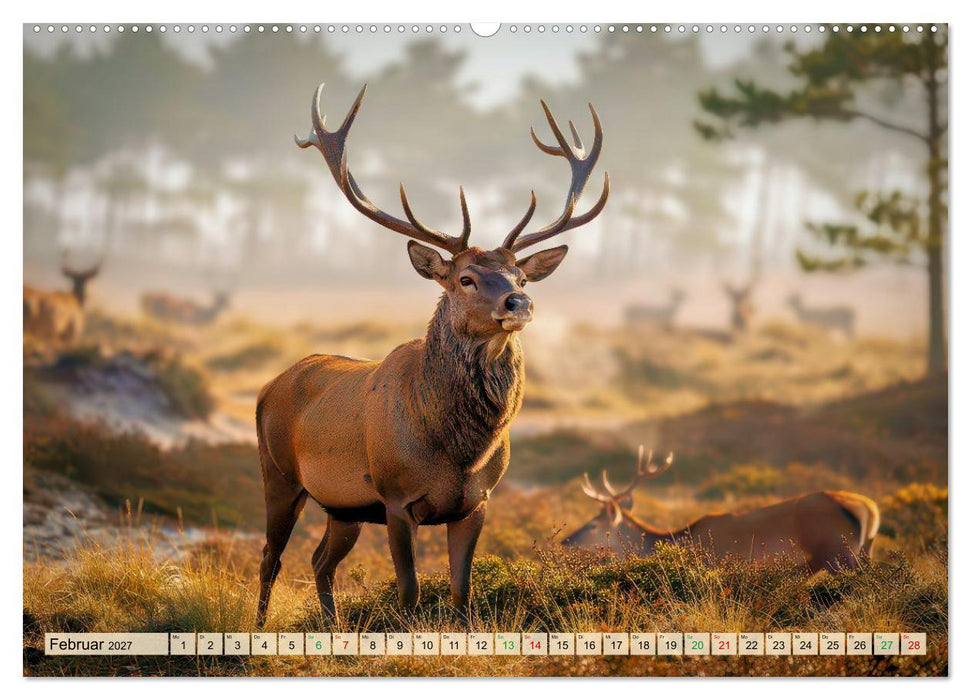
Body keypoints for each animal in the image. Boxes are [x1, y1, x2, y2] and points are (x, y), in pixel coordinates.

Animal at [254, 83, 610, 627]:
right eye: (465, 278)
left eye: (521, 277)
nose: (519, 303)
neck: (456, 451)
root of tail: (267, 388)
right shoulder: (396, 499)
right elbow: (409, 593)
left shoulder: (475, 503)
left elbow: (462, 593)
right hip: (279, 475)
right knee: (270, 559)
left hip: (343, 507)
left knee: (319, 561)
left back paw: (332, 628)